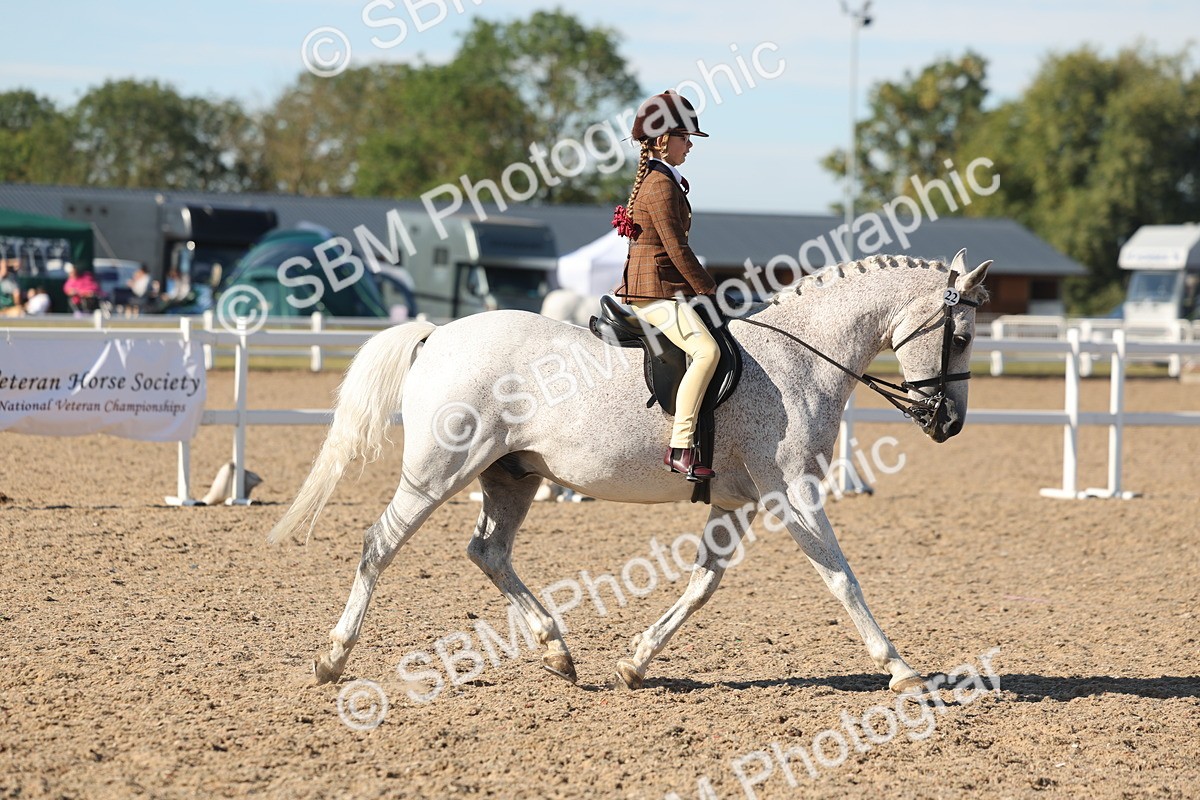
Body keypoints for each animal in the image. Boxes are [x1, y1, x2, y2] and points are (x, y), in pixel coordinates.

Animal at [269, 250, 991, 694]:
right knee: (381, 544)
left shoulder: (735, 502)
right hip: (438, 471)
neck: (801, 356)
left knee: (488, 551)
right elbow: (842, 579)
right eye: (960, 336)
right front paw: (900, 668)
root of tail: (439, 334)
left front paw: (636, 662)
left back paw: (557, 652)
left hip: (512, 475)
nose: (949, 422)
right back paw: (333, 658)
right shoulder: (793, 494)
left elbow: (702, 586)